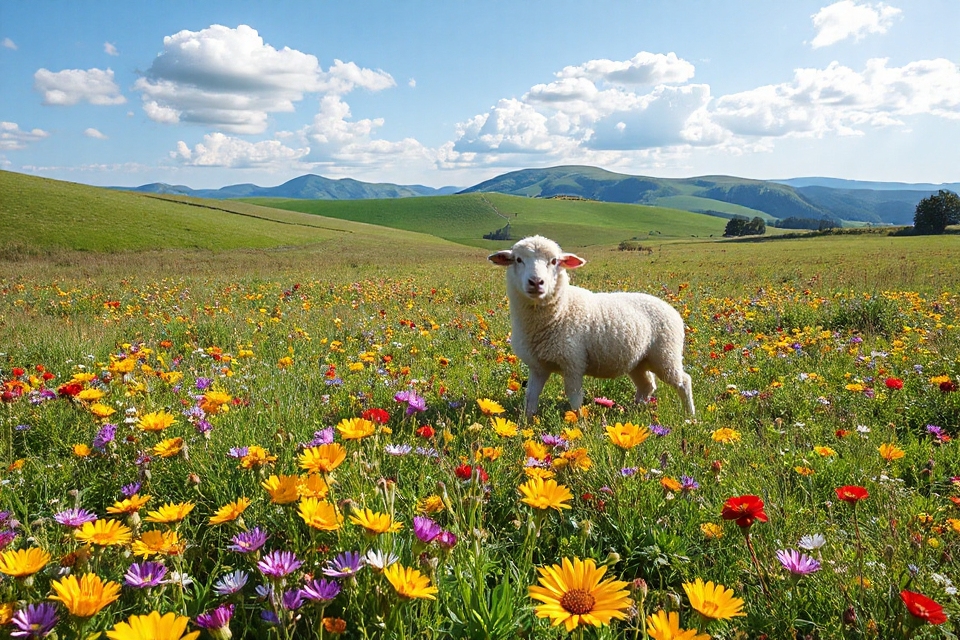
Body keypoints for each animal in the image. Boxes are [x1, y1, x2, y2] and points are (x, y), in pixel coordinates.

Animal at [488, 235, 695, 418]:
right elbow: (531, 396)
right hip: (639, 360)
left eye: (554, 261)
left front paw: (579, 422)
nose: (536, 282)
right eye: (518, 259)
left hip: (666, 354)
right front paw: (526, 422)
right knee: (647, 385)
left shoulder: (573, 361)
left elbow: (574, 396)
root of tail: (671, 309)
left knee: (683, 381)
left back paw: (689, 416)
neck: (561, 309)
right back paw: (635, 410)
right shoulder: (538, 366)